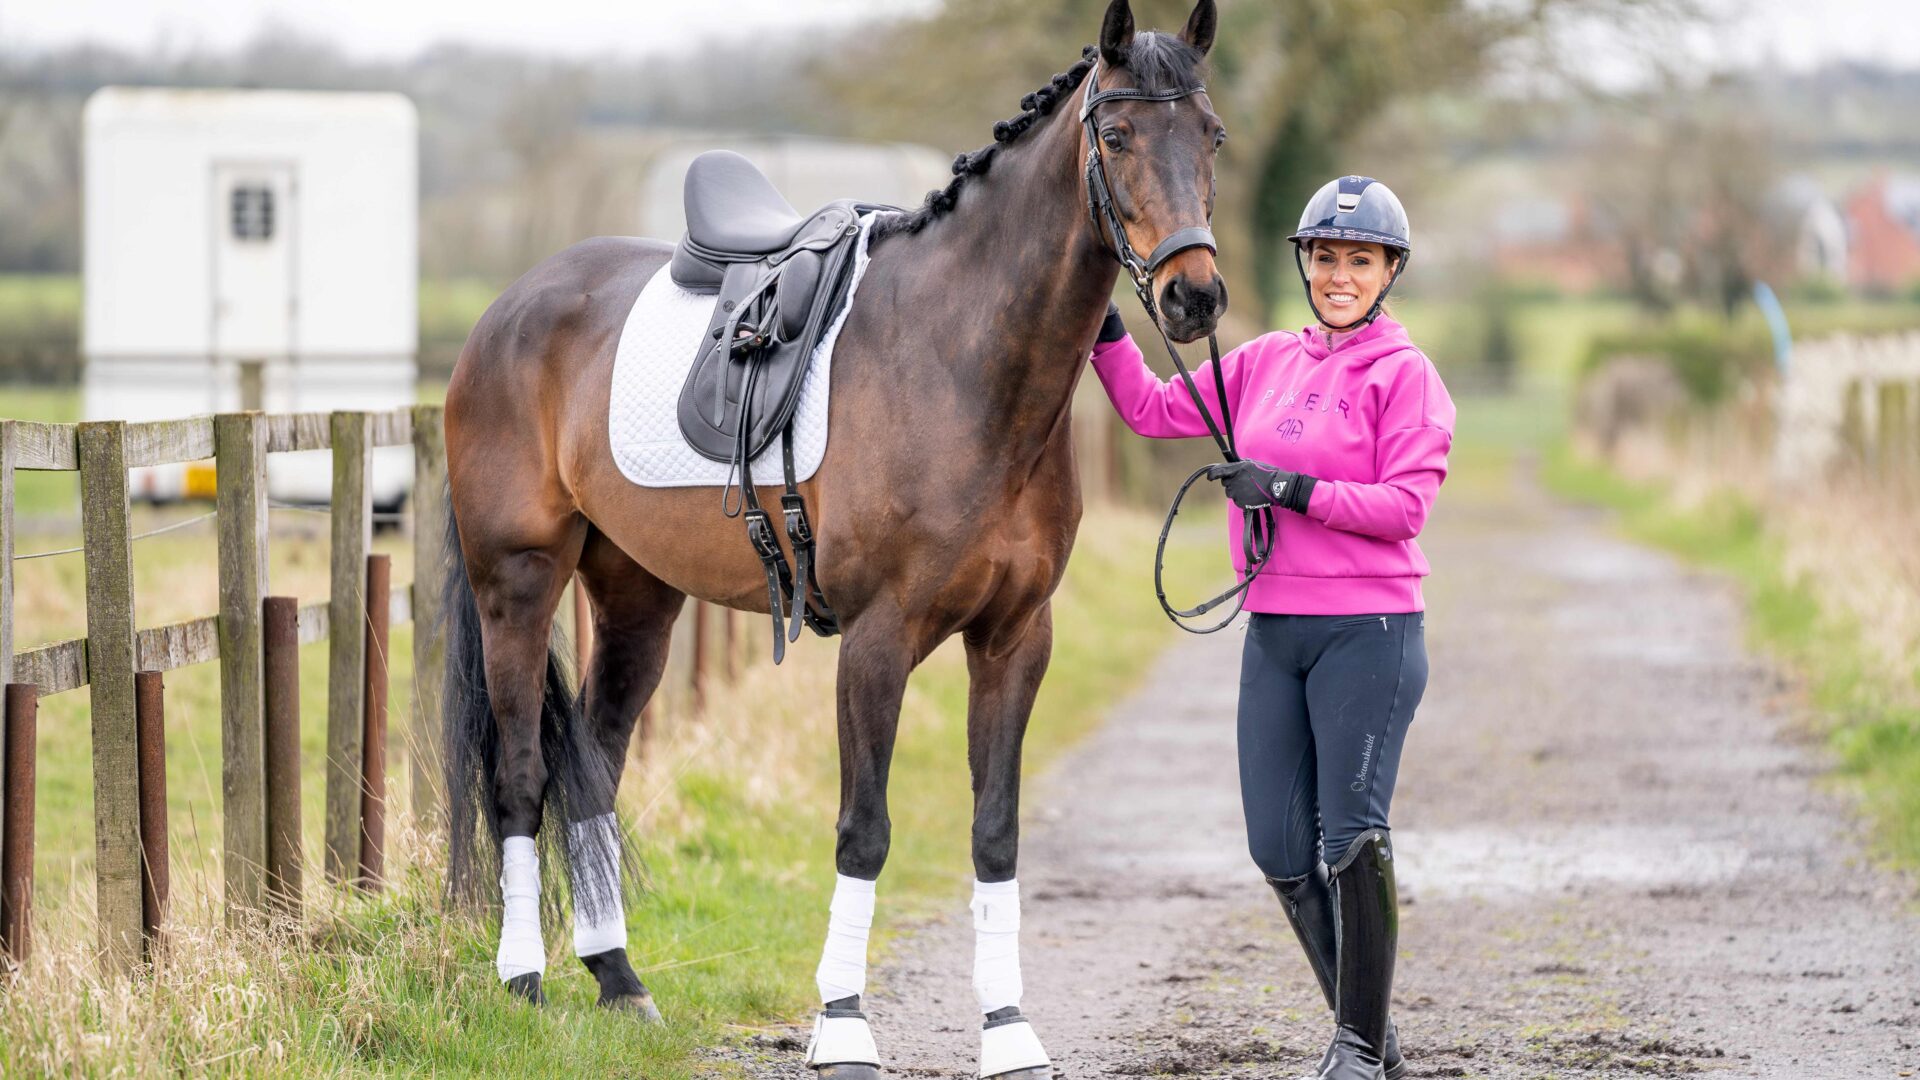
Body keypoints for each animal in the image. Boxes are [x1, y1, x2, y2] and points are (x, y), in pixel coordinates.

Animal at [439, 2, 1228, 1068]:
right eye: (1116, 135)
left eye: (1211, 136)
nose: (1196, 297)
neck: (959, 360)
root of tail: (506, 310)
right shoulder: (877, 639)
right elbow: (864, 829)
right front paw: (844, 1024)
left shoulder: (1016, 638)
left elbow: (995, 832)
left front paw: (1009, 1032)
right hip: (517, 580)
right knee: (523, 775)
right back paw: (521, 981)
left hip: (638, 593)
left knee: (592, 767)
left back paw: (619, 982)